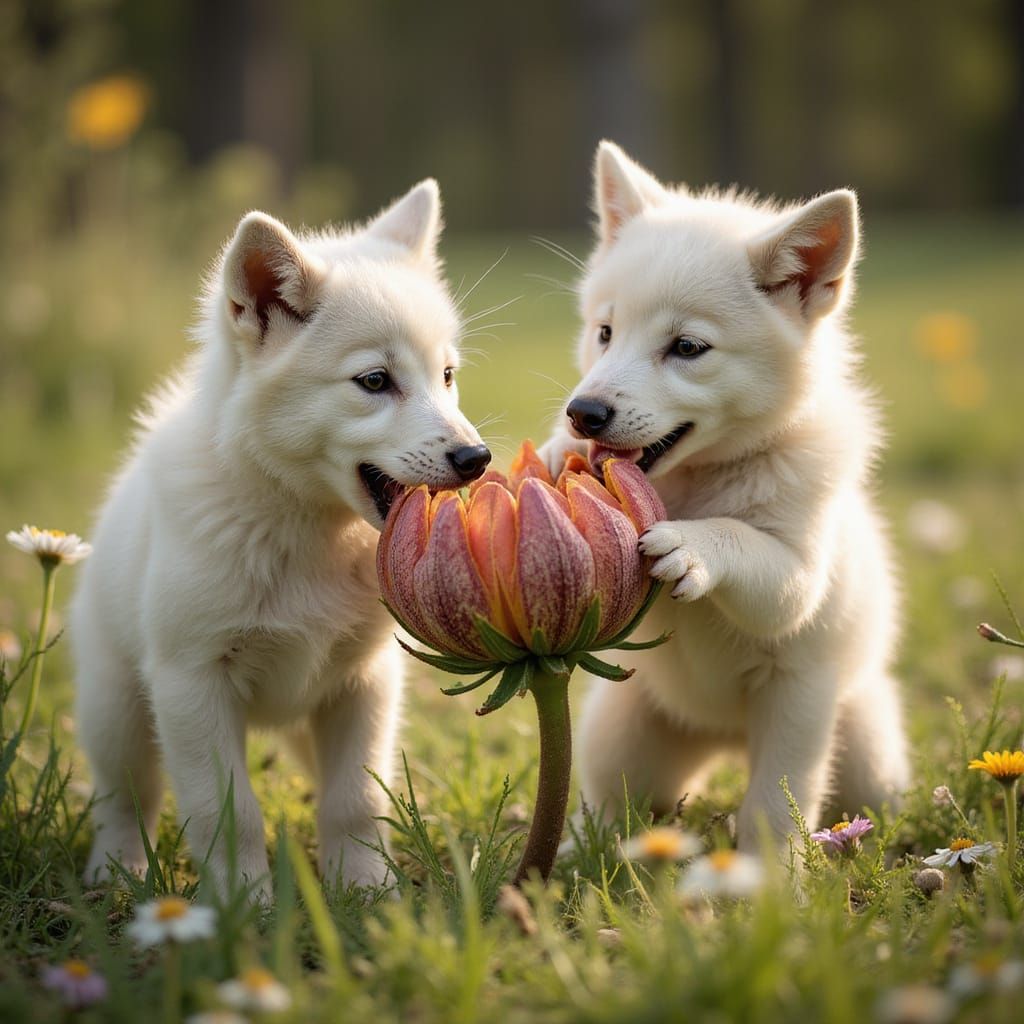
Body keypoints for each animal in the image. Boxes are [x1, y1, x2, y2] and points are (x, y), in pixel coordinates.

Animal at [70, 180, 491, 898]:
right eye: (374, 381)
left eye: (447, 375)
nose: (477, 459)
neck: (308, 534)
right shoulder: (192, 685)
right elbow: (228, 810)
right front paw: (245, 904)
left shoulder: (365, 683)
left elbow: (356, 798)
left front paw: (368, 890)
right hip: (117, 711)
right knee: (126, 797)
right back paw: (116, 873)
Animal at [542, 142, 908, 851]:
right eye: (605, 332)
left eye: (688, 347)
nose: (583, 414)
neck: (701, 479)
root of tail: (723, 739)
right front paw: (549, 454)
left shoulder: (798, 579)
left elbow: (742, 542)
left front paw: (691, 547)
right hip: (621, 732)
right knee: (609, 803)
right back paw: (575, 852)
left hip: (843, 743)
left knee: (778, 805)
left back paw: (774, 870)